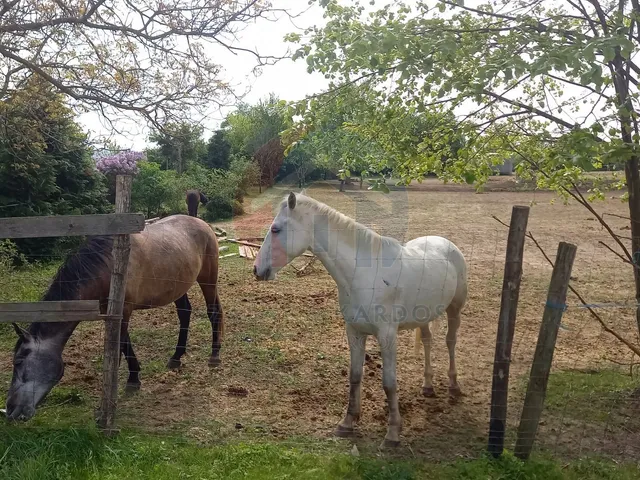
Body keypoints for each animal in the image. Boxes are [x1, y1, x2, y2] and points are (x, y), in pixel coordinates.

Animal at [5, 214, 222, 420]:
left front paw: (109, 403)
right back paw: (176, 357)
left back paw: (214, 356)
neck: (107, 266)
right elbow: (125, 344)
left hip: (208, 279)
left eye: (18, 362)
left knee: (214, 312)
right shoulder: (112, 314)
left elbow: (118, 350)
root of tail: (201, 223)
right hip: (178, 287)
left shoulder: (124, 311)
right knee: (184, 314)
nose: (10, 410)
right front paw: (134, 379)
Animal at [252, 191, 468, 446]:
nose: (256, 269)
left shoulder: (387, 336)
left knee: (450, 341)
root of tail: (446, 244)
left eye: (276, 229)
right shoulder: (354, 331)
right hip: (424, 316)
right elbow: (355, 376)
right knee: (427, 340)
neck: (363, 275)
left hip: (455, 309)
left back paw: (454, 386)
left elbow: (389, 382)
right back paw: (427, 386)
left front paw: (393, 433)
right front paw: (347, 423)